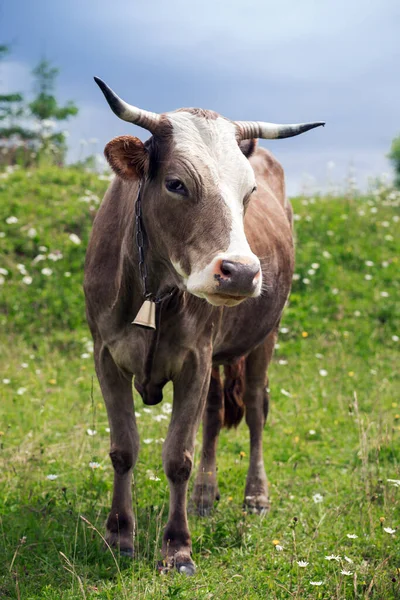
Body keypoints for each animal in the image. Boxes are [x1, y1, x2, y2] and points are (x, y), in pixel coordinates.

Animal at [83, 77, 324, 576]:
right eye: (176, 183)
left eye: (249, 191)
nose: (241, 272)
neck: (152, 290)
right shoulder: (106, 356)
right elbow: (123, 449)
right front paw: (119, 536)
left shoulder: (194, 360)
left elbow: (178, 456)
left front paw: (177, 549)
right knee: (213, 415)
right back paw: (204, 498)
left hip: (264, 337)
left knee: (254, 409)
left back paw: (255, 496)